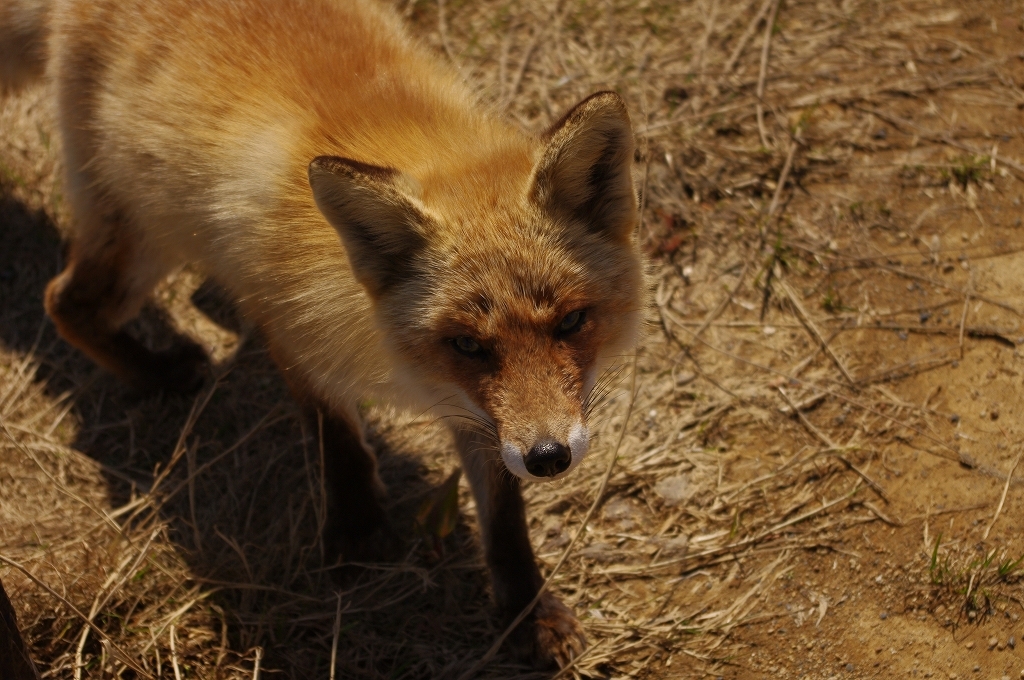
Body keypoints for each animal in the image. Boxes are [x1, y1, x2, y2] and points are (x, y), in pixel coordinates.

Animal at [2, 0, 647, 663]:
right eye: (468, 344)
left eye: (571, 322)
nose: (549, 459)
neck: (389, 353)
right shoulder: (287, 322)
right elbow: (332, 430)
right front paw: (357, 523)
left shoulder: (481, 412)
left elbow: (505, 516)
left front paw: (527, 609)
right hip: (143, 234)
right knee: (65, 303)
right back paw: (158, 370)